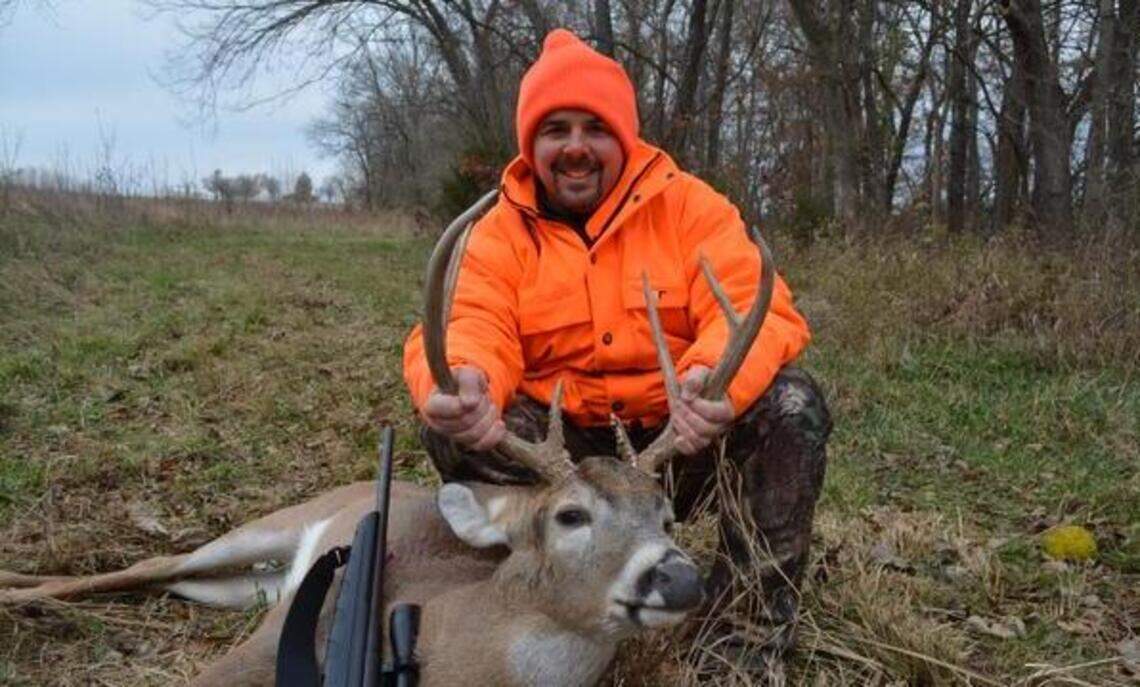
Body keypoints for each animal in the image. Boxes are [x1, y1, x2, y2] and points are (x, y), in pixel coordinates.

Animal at [0, 190, 776, 686]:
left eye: (666, 516)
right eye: (570, 515)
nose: (677, 576)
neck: (468, 646)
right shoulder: (266, 646)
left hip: (250, 589)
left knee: (168, 579)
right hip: (272, 531)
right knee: (145, 564)